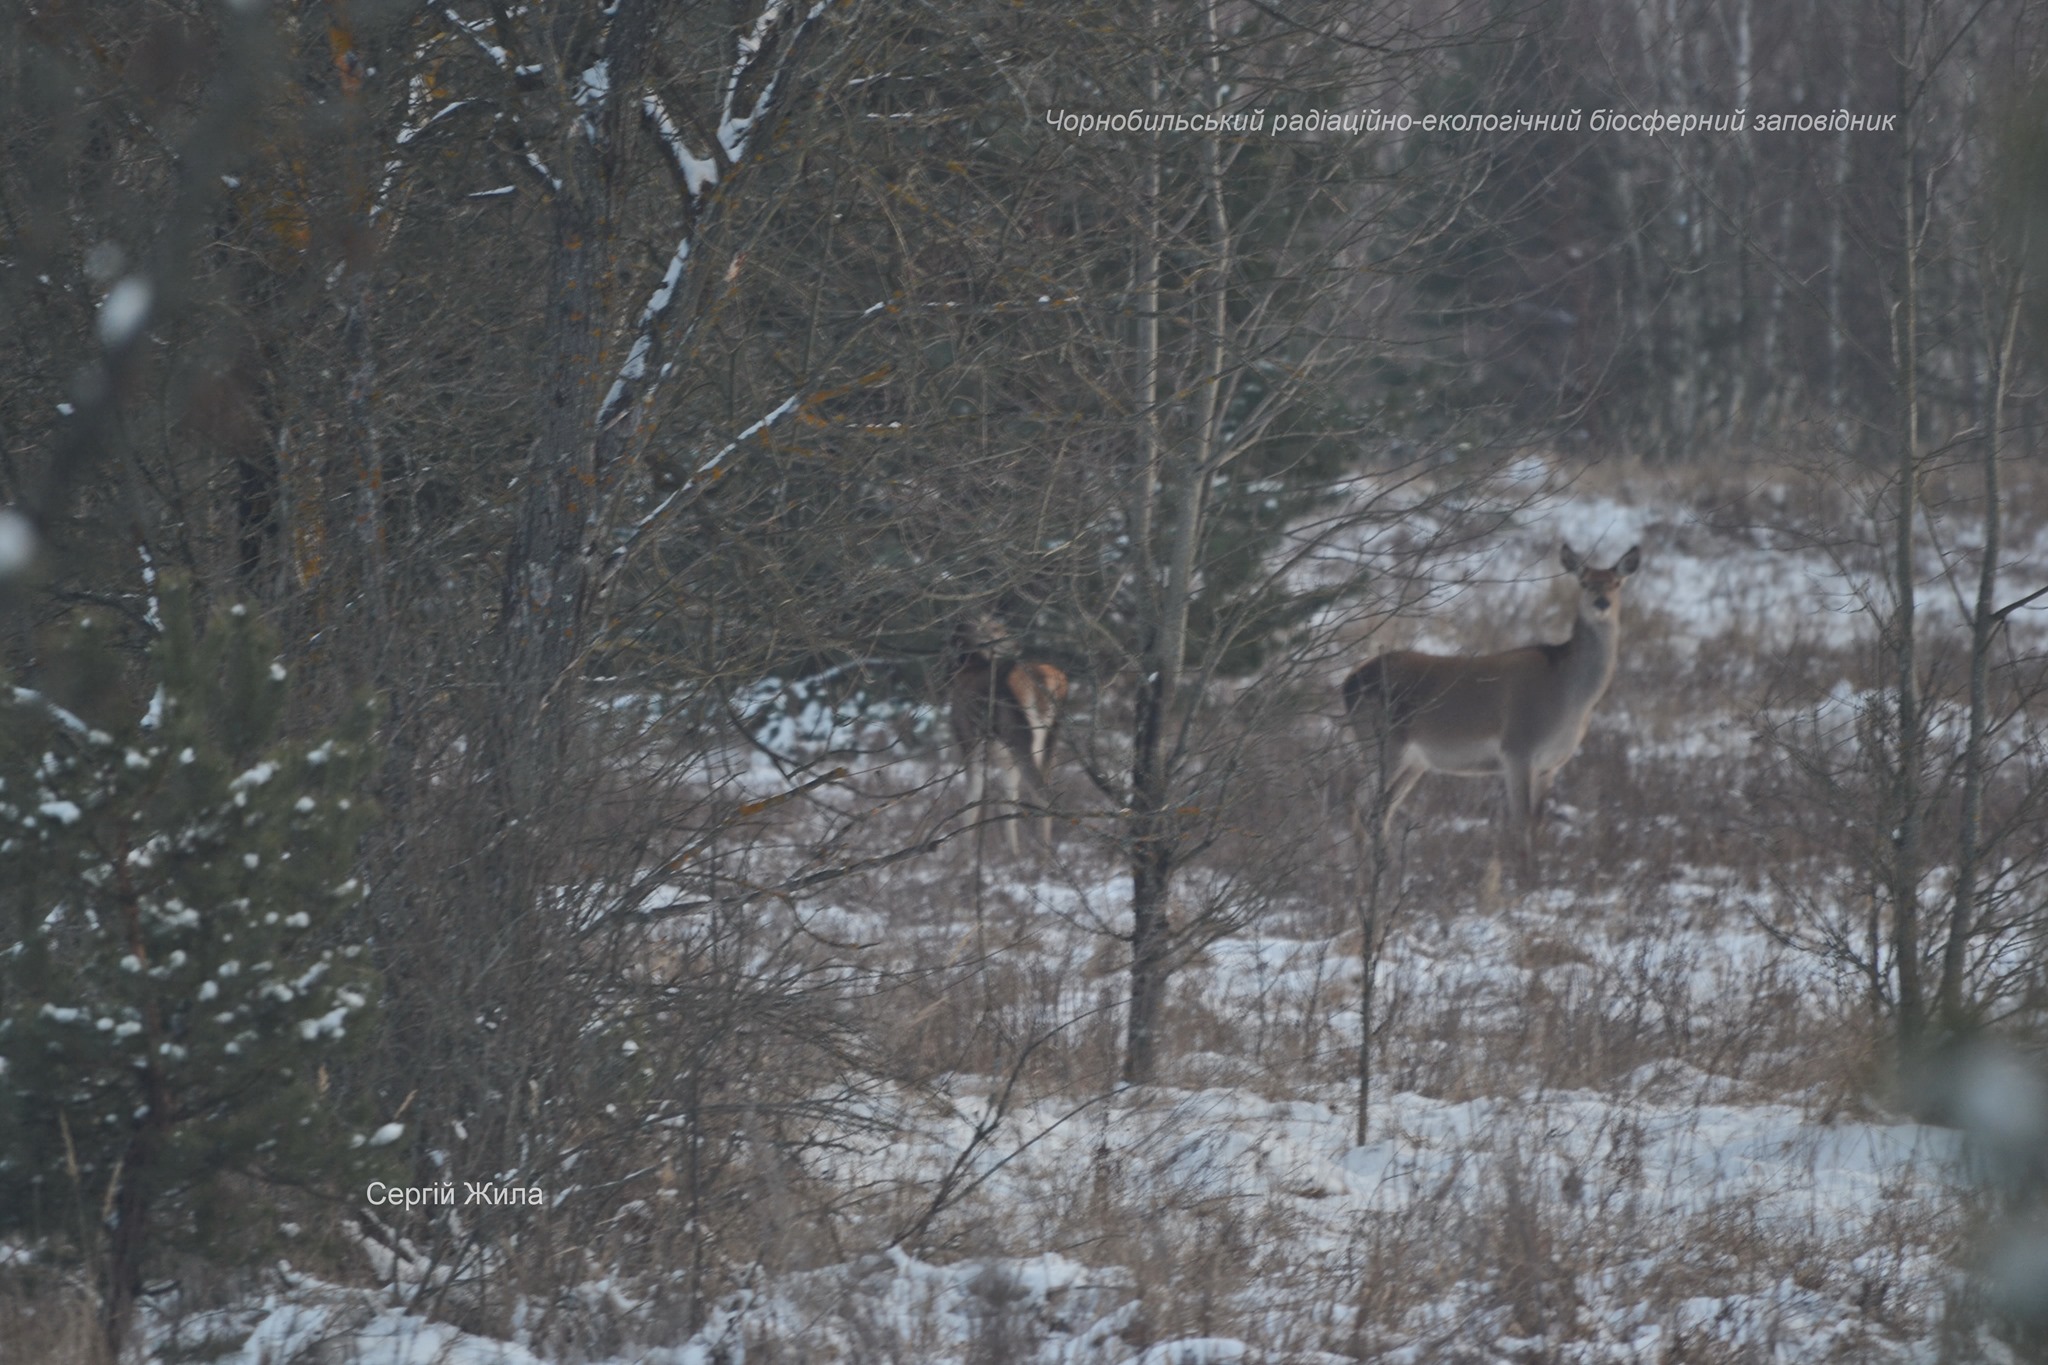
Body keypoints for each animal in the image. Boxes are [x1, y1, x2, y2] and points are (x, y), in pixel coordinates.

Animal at [946, 618, 1073, 855]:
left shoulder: (968, 741)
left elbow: (972, 798)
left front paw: (964, 855)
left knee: (1043, 795)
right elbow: (1009, 804)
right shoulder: (1006, 760)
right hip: (1050, 738)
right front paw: (1013, 854)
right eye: (996, 628)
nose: (1016, 644)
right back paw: (1045, 855)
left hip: (1019, 735)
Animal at [1343, 540, 1646, 879]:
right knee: (1368, 805)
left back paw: (1373, 873)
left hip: (1412, 760)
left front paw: (1538, 871)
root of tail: (1348, 685)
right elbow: (1521, 820)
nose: (1602, 603)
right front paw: (1525, 876)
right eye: (1584, 582)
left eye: (1616, 583)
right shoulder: (1517, 747)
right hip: (1384, 742)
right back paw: (1384, 874)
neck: (1568, 695)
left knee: (1373, 805)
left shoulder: (1551, 763)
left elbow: (1538, 821)